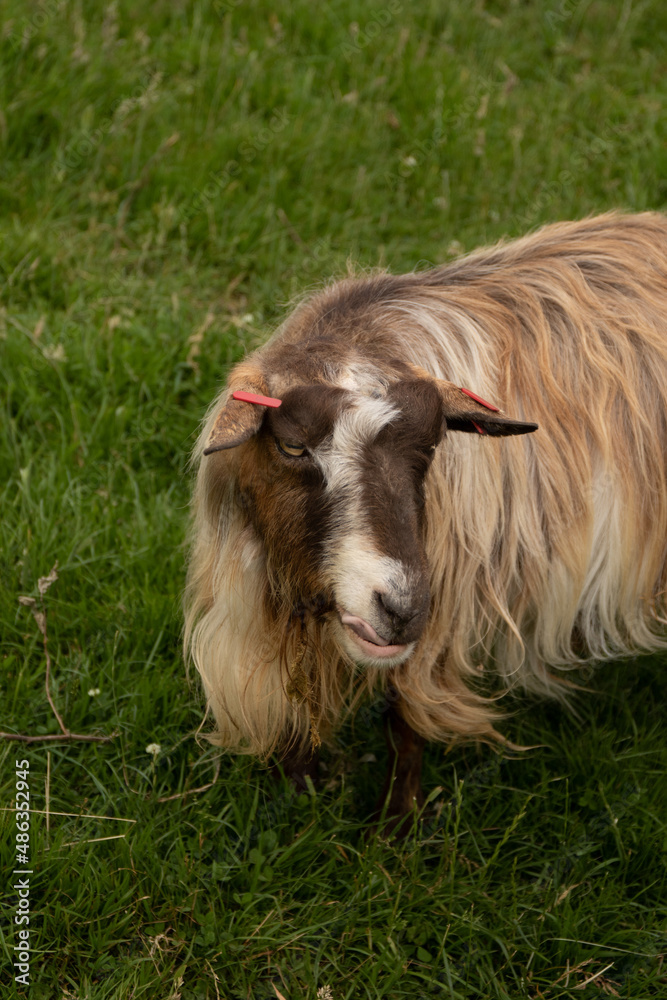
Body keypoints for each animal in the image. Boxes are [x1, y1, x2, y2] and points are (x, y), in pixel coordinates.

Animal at [184, 212, 667, 826]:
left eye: (433, 444)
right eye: (292, 445)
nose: (400, 606)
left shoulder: (440, 615)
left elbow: (404, 719)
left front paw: (394, 828)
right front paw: (301, 793)